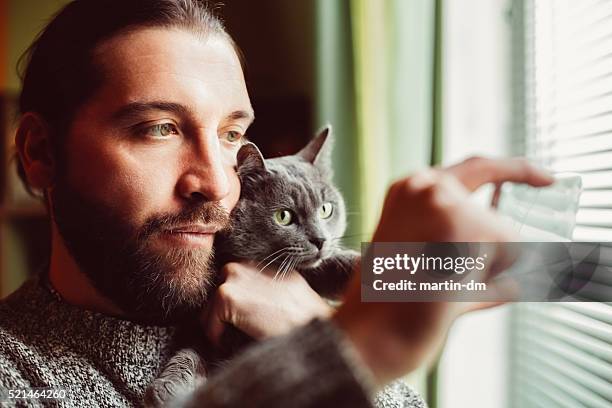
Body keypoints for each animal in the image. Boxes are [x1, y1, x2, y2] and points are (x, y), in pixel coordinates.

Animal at [145, 126, 358, 406]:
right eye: (283, 216)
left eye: (326, 210)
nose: (321, 239)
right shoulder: (198, 318)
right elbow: (189, 348)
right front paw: (168, 387)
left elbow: (320, 266)